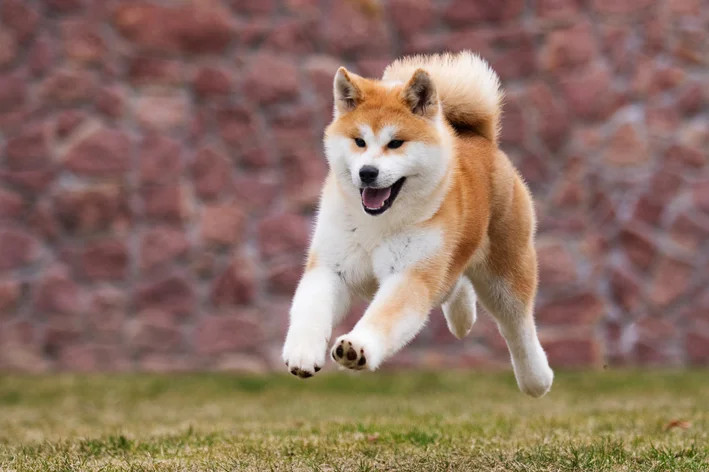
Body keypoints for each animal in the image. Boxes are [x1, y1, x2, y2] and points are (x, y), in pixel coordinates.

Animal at [280, 50, 552, 398]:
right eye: (359, 141)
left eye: (396, 143)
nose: (367, 172)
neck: (377, 225)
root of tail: (480, 138)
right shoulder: (332, 266)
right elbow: (310, 310)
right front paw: (302, 353)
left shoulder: (410, 274)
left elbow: (384, 317)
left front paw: (357, 348)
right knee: (456, 283)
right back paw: (463, 317)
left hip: (505, 274)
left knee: (518, 327)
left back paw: (536, 379)